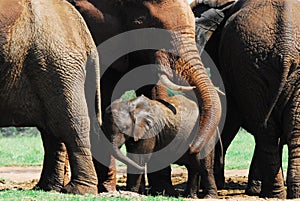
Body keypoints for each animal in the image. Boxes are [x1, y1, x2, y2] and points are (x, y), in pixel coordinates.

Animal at [62, 0, 223, 193]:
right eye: (146, 27)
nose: (191, 148)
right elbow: (98, 101)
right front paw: (108, 189)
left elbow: (153, 90)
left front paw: (162, 190)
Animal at [192, 0, 300, 199]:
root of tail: (287, 49)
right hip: (250, 66)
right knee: (271, 130)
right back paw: (277, 194)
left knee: (275, 130)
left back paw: (277, 193)